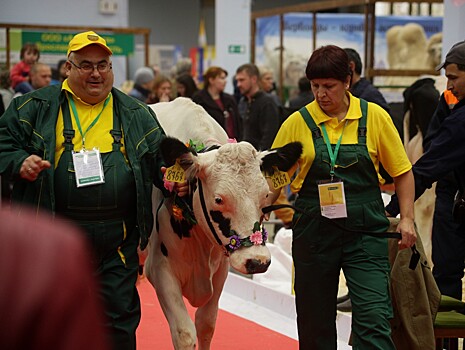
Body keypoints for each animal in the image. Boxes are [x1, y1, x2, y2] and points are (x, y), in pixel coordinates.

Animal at [145, 98, 302, 350]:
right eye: (219, 199)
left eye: (265, 195)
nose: (257, 261)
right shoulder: (160, 269)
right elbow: (185, 333)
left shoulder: (220, 270)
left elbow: (206, 324)